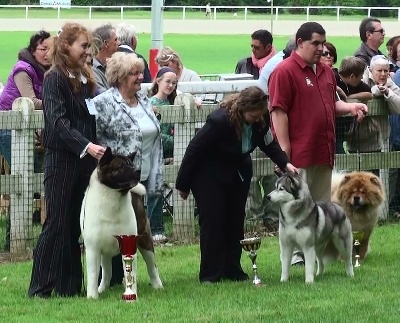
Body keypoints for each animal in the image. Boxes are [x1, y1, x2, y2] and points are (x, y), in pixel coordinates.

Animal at [79, 148, 162, 300]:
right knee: (106, 272)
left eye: (131, 164)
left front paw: (132, 293)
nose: (137, 170)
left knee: (152, 266)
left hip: (145, 240)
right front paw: (92, 296)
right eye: (121, 166)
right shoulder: (93, 248)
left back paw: (158, 286)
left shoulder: (129, 243)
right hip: (104, 253)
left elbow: (132, 273)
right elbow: (93, 274)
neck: (113, 198)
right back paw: (102, 289)